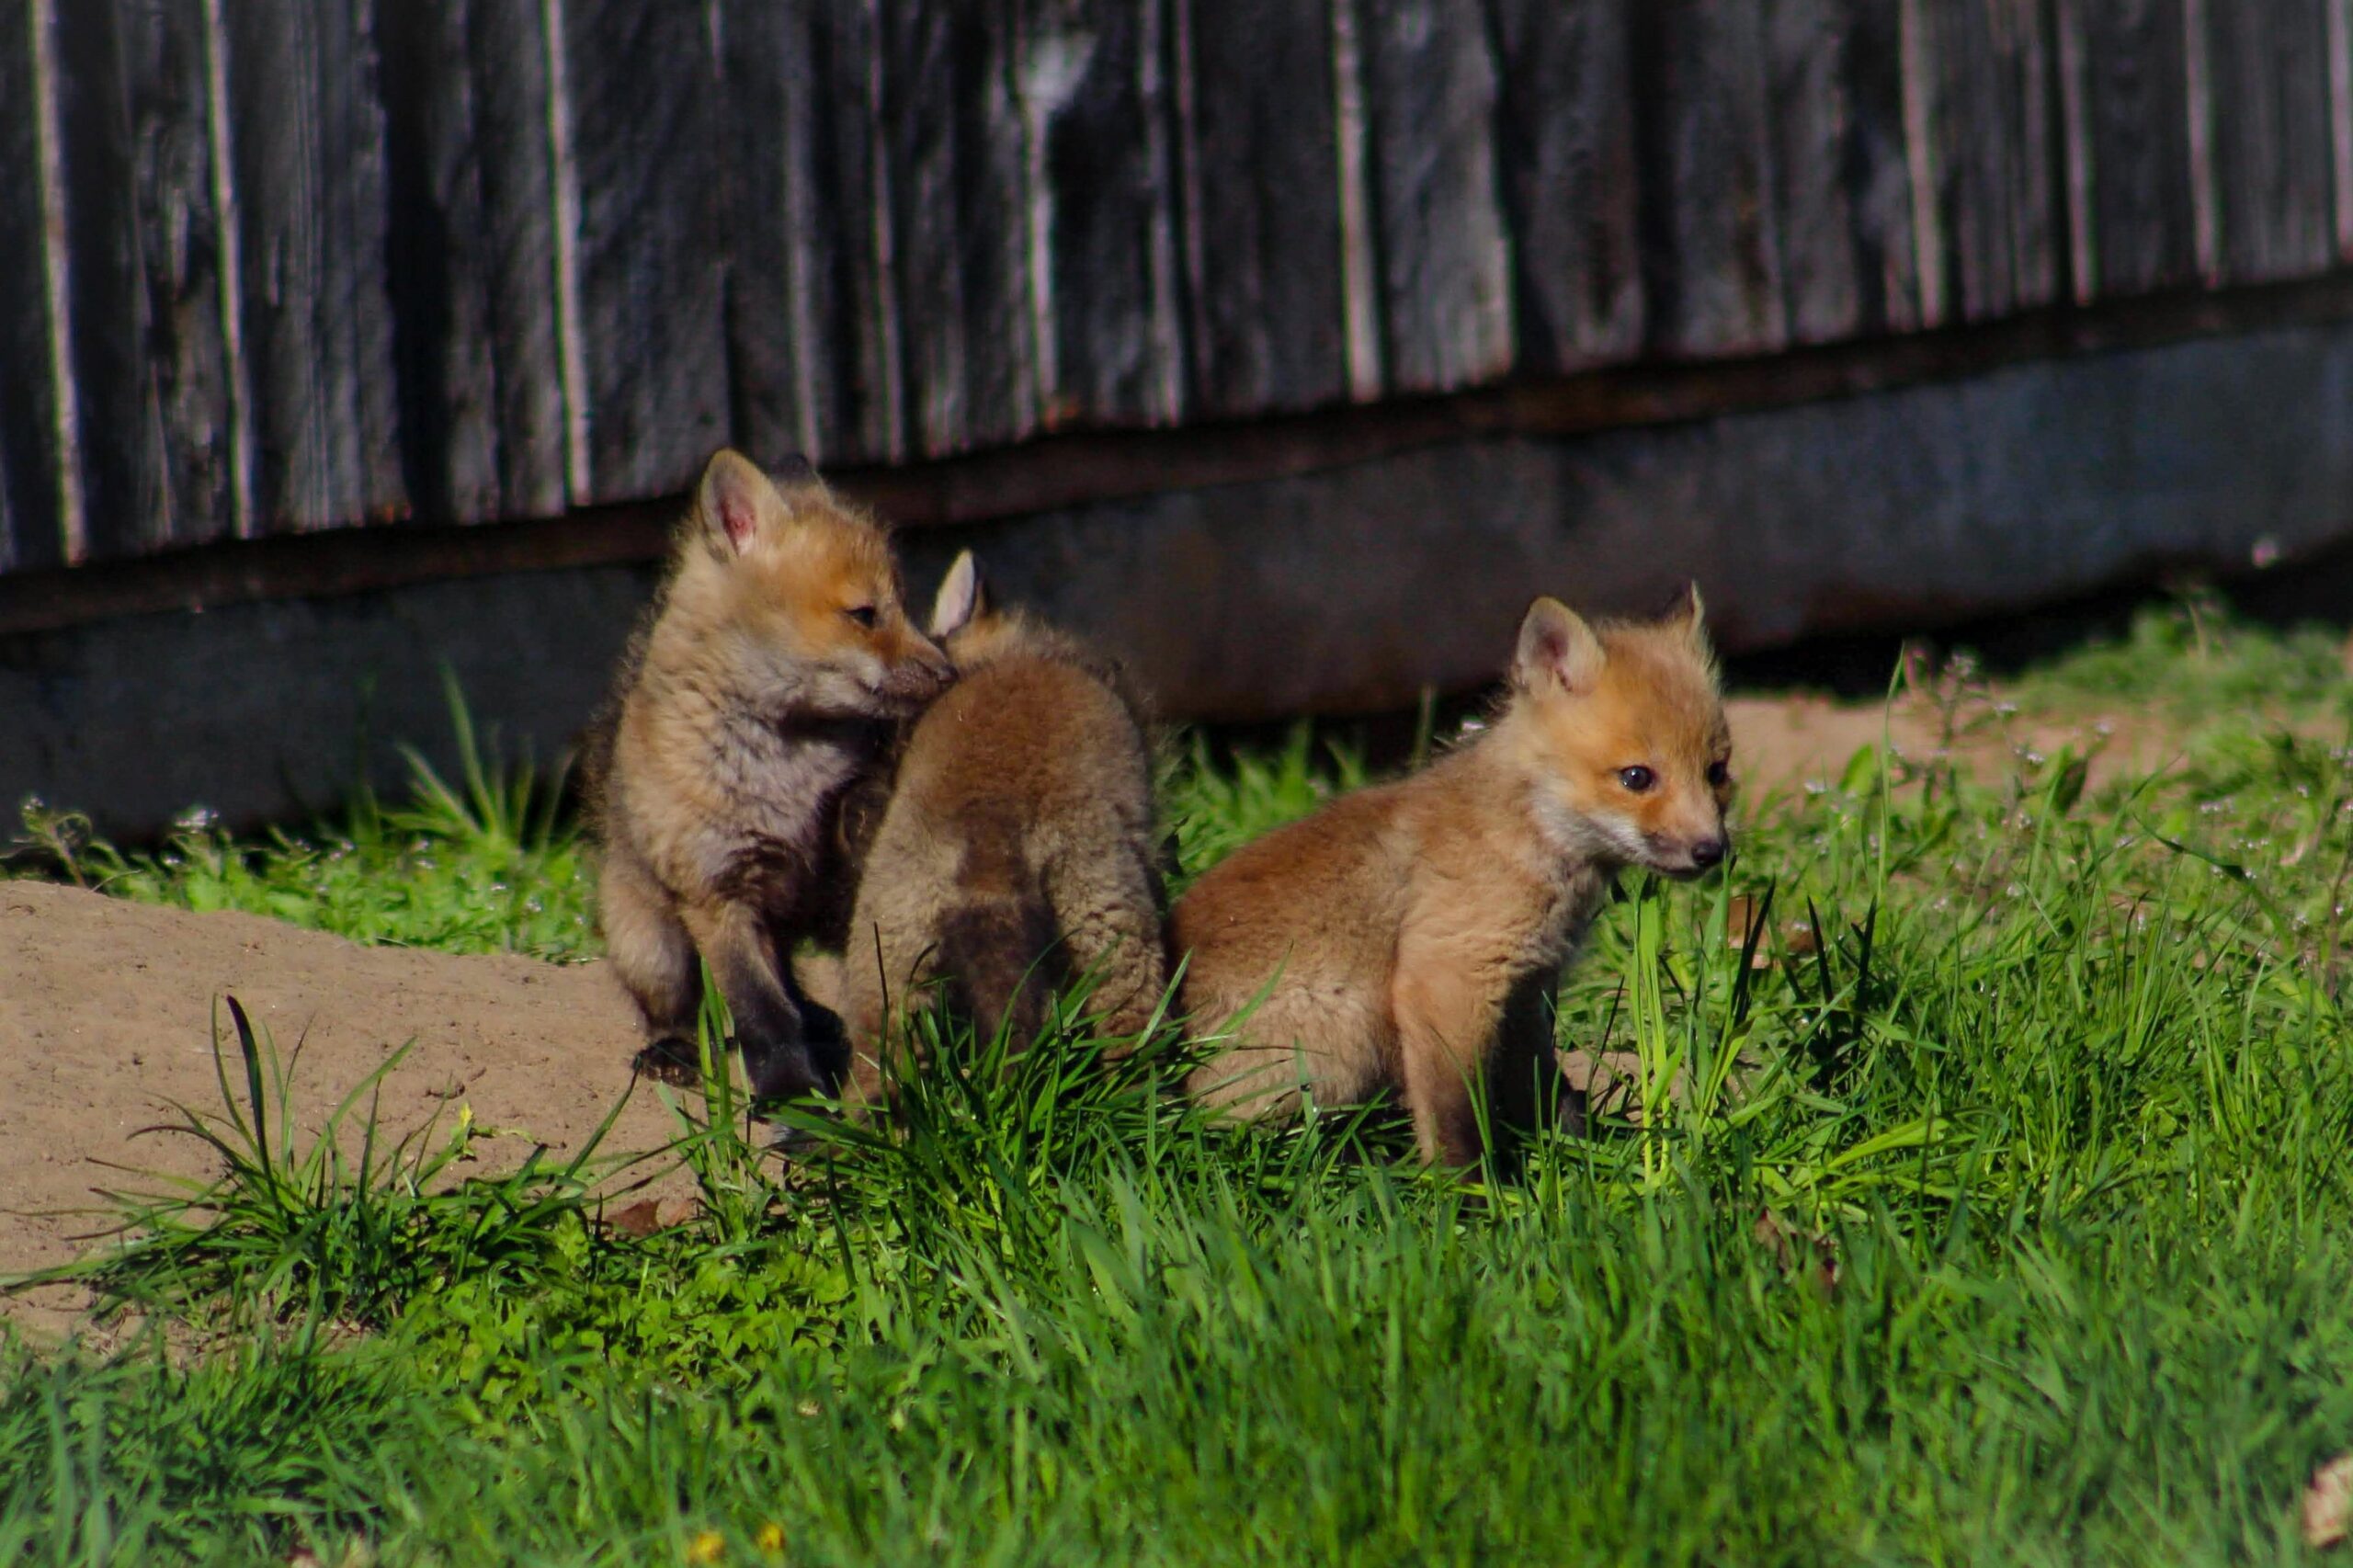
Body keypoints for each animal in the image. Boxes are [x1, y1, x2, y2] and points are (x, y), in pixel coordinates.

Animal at [582, 448, 953, 1105]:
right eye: (864, 615)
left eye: (903, 607)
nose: (949, 672)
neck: (786, 766)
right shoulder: (718, 892)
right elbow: (762, 1012)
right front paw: (790, 1091)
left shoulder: (829, 870)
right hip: (653, 947)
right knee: (680, 1011)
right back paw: (672, 1050)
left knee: (796, 990)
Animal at [836, 551, 1168, 1110]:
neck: (1009, 653)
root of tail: (988, 834)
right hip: (1111, 926)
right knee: (1129, 1037)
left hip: (886, 965)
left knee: (878, 1067)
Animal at [1171, 587, 1732, 1166]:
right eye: (1636, 777)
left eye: (1717, 771)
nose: (1711, 851)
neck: (1528, 831)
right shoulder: (1451, 972)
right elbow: (1454, 1109)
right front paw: (1472, 1184)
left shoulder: (1527, 987)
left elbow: (1544, 1087)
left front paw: (1576, 1151)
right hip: (1344, 1041)